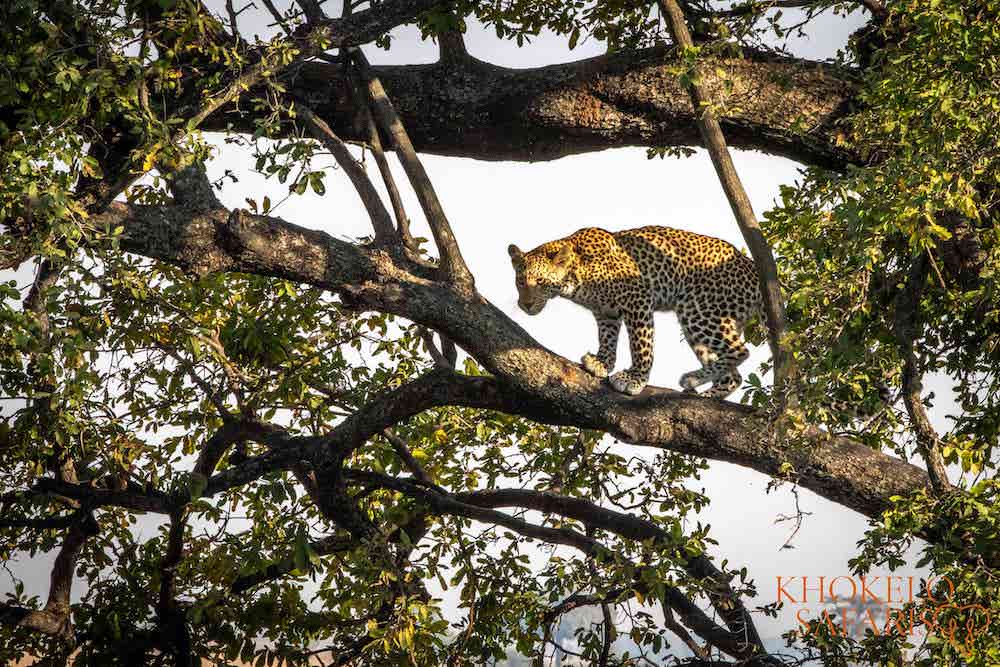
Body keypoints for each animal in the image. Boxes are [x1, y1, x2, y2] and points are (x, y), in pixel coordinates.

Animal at [512, 227, 760, 400]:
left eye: (540, 282)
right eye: (520, 281)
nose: (526, 305)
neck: (574, 277)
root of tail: (752, 266)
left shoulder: (638, 298)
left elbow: (641, 344)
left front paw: (635, 378)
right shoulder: (605, 312)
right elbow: (607, 339)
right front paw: (602, 363)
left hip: (698, 310)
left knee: (740, 351)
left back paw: (691, 378)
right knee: (734, 377)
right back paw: (706, 392)